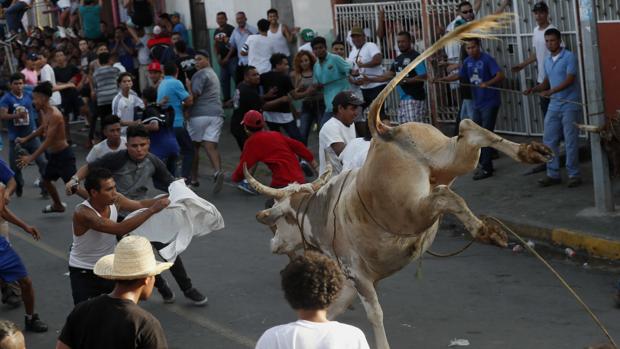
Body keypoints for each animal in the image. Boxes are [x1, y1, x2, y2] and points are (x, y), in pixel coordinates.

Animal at [242, 13, 552, 348]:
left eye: (276, 220)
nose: (273, 243)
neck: (319, 209)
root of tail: (383, 132)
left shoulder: (358, 274)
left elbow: (374, 314)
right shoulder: (350, 281)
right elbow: (334, 310)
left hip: (411, 210)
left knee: (445, 196)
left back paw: (486, 229)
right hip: (450, 158)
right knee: (470, 129)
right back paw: (530, 153)